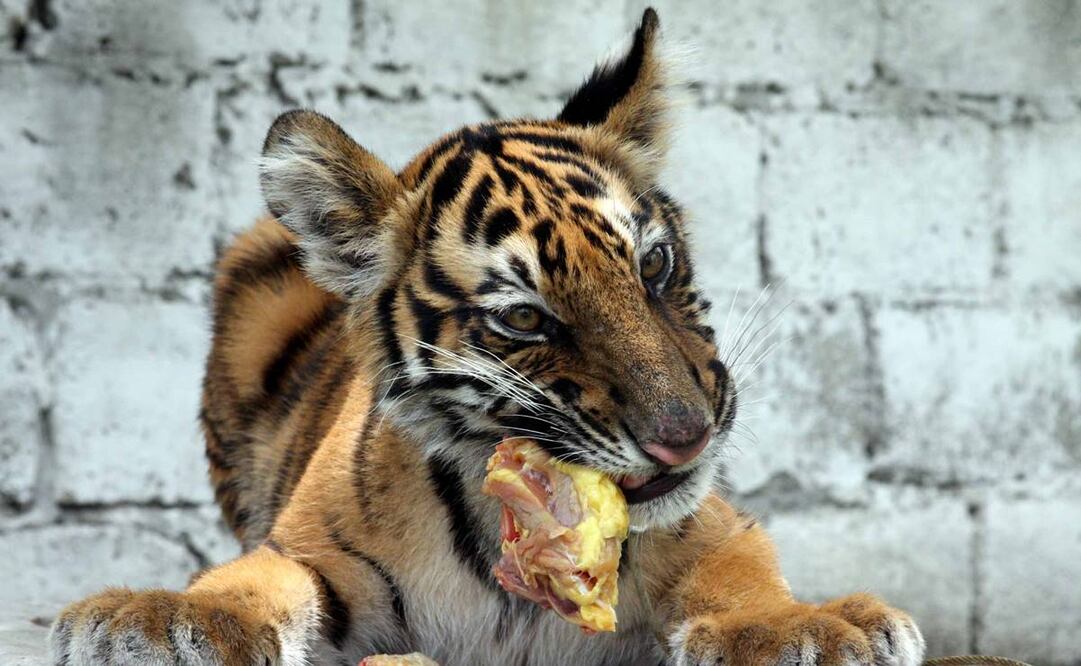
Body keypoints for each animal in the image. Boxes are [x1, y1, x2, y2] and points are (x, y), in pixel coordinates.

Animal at [49, 9, 926, 666]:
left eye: (653, 264)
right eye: (525, 317)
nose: (686, 437)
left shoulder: (710, 528)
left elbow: (740, 579)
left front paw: (803, 629)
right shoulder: (313, 551)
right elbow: (249, 580)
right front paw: (157, 617)